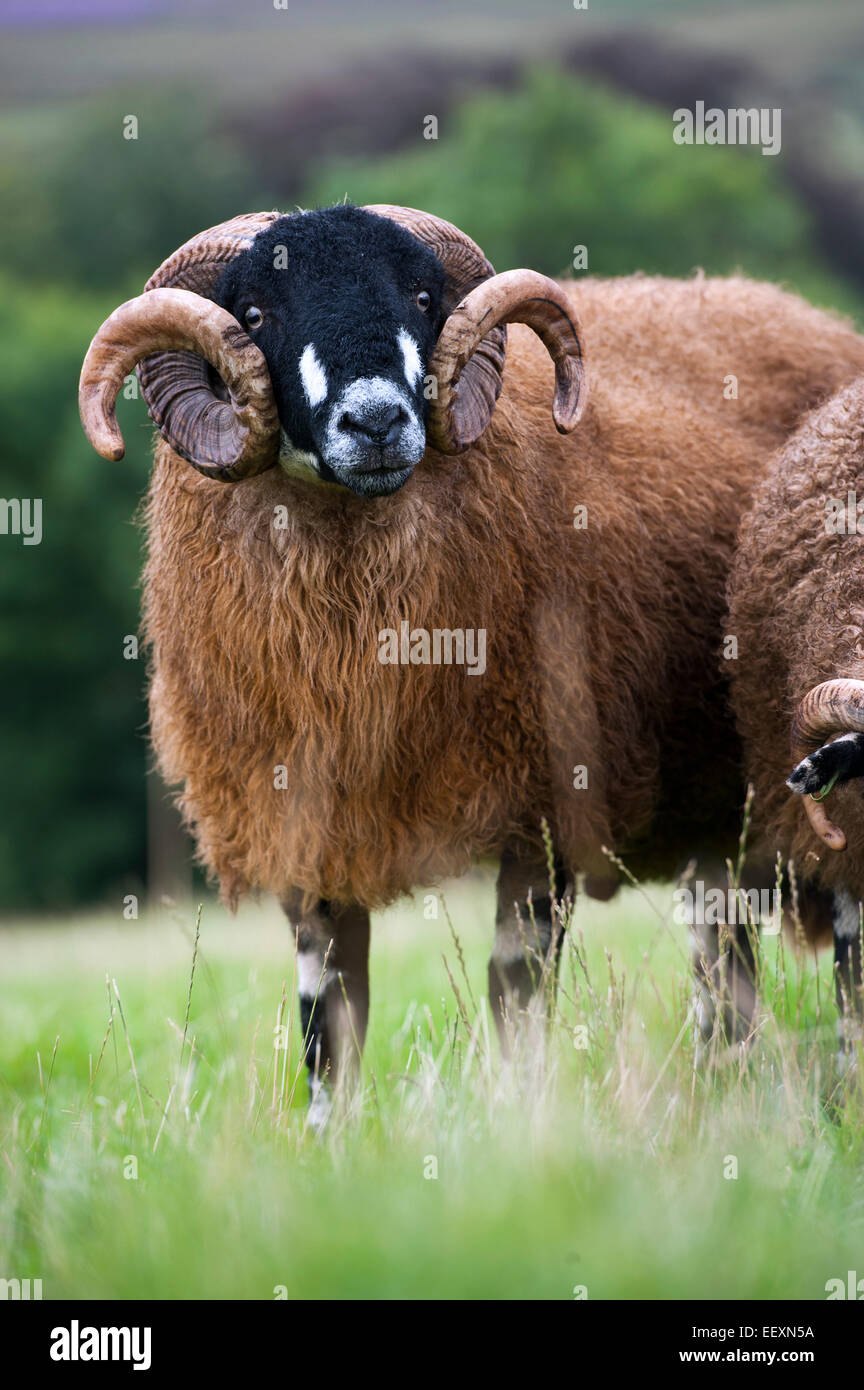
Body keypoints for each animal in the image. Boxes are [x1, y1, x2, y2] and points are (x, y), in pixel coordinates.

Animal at [77, 201, 864, 1112]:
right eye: (257, 313)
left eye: (422, 297)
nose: (378, 422)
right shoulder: (306, 827)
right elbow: (327, 1027)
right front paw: (328, 1141)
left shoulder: (544, 809)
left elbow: (516, 999)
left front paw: (521, 1123)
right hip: (714, 821)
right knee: (725, 968)